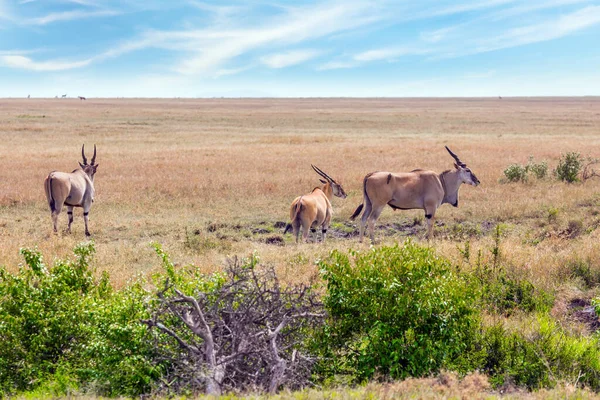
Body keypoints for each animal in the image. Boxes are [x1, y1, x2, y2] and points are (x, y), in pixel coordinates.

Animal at [350, 145, 480, 242]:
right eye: (467, 170)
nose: (477, 181)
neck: (440, 181)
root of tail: (370, 175)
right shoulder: (431, 208)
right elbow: (431, 223)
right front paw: (430, 239)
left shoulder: (426, 210)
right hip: (378, 205)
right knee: (371, 220)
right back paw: (373, 241)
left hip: (369, 204)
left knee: (363, 219)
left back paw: (361, 240)